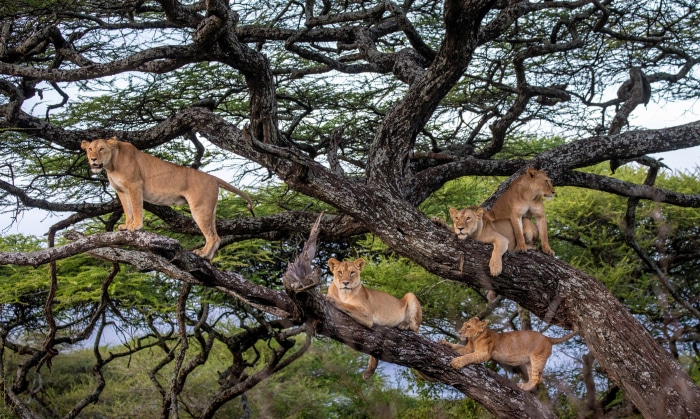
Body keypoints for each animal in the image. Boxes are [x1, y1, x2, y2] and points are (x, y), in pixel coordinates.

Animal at [81, 137, 254, 260]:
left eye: (101, 149)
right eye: (90, 149)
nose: (93, 159)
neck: (111, 165)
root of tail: (213, 178)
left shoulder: (135, 185)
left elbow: (136, 208)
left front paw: (135, 226)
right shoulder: (121, 191)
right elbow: (127, 209)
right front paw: (126, 225)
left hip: (200, 208)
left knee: (213, 236)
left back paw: (202, 254)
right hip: (209, 210)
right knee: (216, 237)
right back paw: (207, 258)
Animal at [440, 317, 577, 391]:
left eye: (468, 326)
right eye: (464, 325)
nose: (459, 332)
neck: (474, 339)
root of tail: (547, 338)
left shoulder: (484, 353)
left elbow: (468, 356)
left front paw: (456, 362)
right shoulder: (469, 349)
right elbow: (458, 347)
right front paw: (444, 342)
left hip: (537, 358)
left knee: (537, 379)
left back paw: (524, 387)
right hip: (529, 362)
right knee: (537, 377)